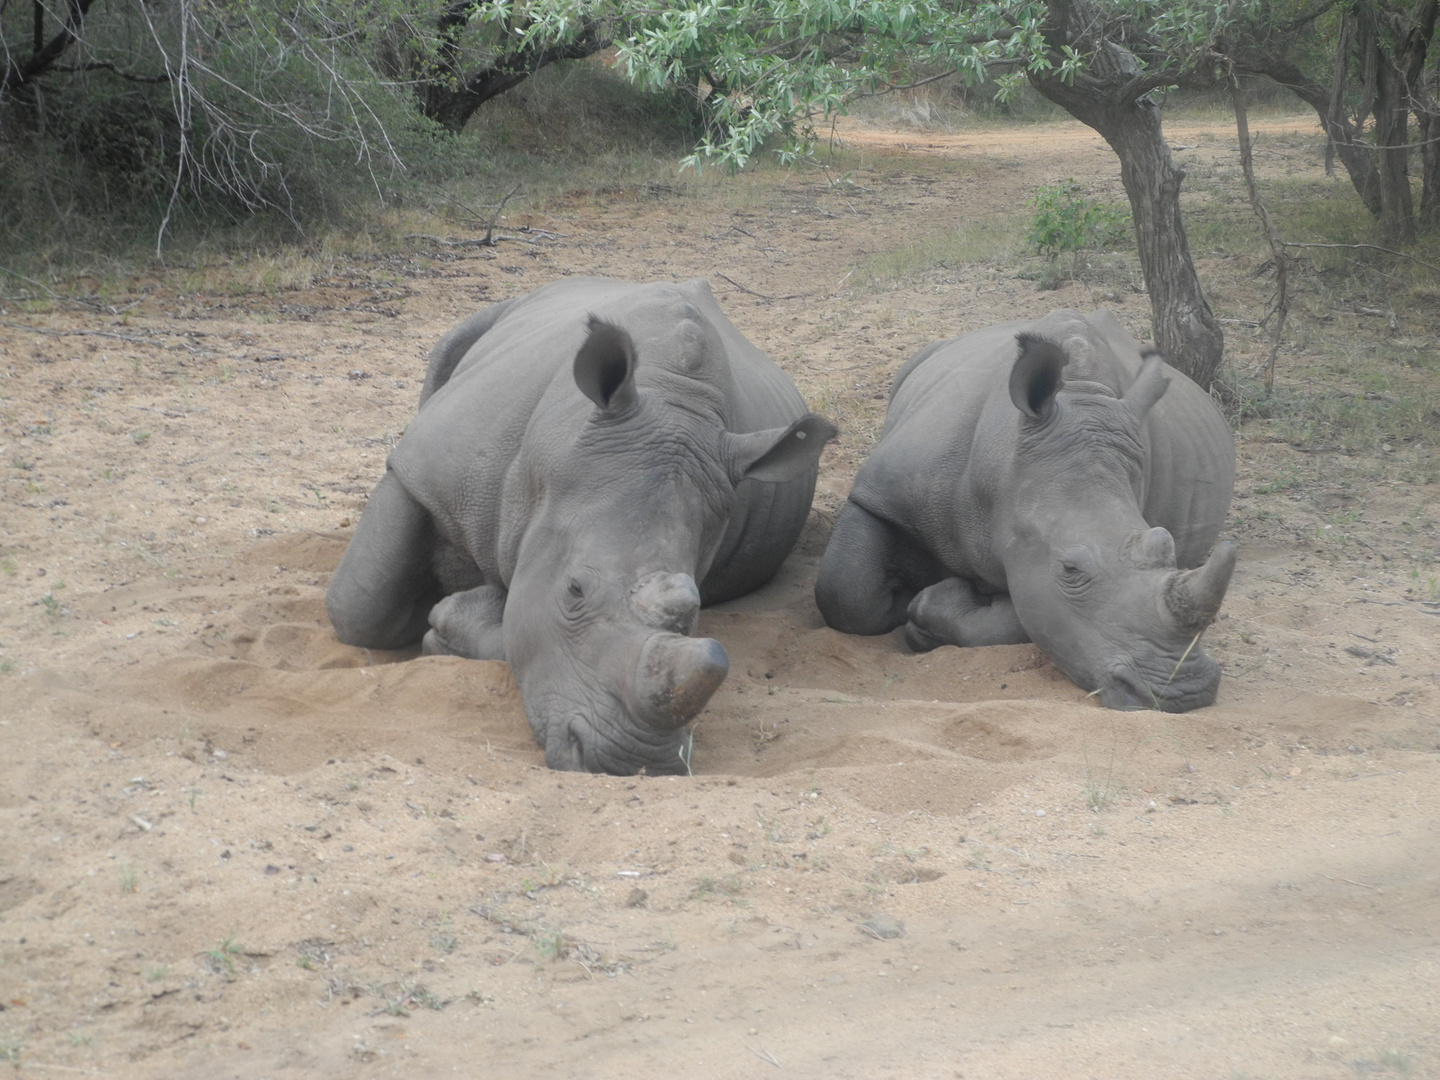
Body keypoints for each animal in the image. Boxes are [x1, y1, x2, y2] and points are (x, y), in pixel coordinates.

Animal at [329, 275, 835, 771]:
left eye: (695, 608)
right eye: (574, 589)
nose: (632, 760)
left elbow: (520, 631)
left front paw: (458, 614)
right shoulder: (419, 472)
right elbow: (359, 606)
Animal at [817, 308, 1232, 714]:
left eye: (1168, 547)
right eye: (1070, 569)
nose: (1184, 692)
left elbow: (1024, 619)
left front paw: (930, 607)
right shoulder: (879, 494)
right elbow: (845, 592)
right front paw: (904, 594)